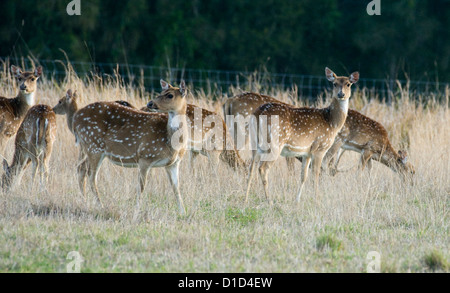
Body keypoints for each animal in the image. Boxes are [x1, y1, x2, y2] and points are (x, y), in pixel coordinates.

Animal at [67, 81, 188, 213]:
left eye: (170, 95)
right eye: (161, 92)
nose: (150, 103)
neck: (171, 142)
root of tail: (75, 119)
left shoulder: (173, 163)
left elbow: (176, 188)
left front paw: (183, 211)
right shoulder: (145, 156)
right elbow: (141, 186)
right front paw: (137, 209)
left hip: (90, 147)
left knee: (81, 169)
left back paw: (85, 201)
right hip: (93, 145)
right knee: (91, 175)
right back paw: (100, 205)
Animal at [244, 67, 360, 202]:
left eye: (348, 84)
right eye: (334, 84)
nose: (341, 94)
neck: (331, 122)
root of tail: (258, 113)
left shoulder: (307, 152)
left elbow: (303, 176)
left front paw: (297, 200)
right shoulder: (319, 148)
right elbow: (315, 175)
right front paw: (317, 199)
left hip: (255, 142)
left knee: (251, 168)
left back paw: (246, 199)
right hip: (274, 143)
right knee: (262, 168)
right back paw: (269, 201)